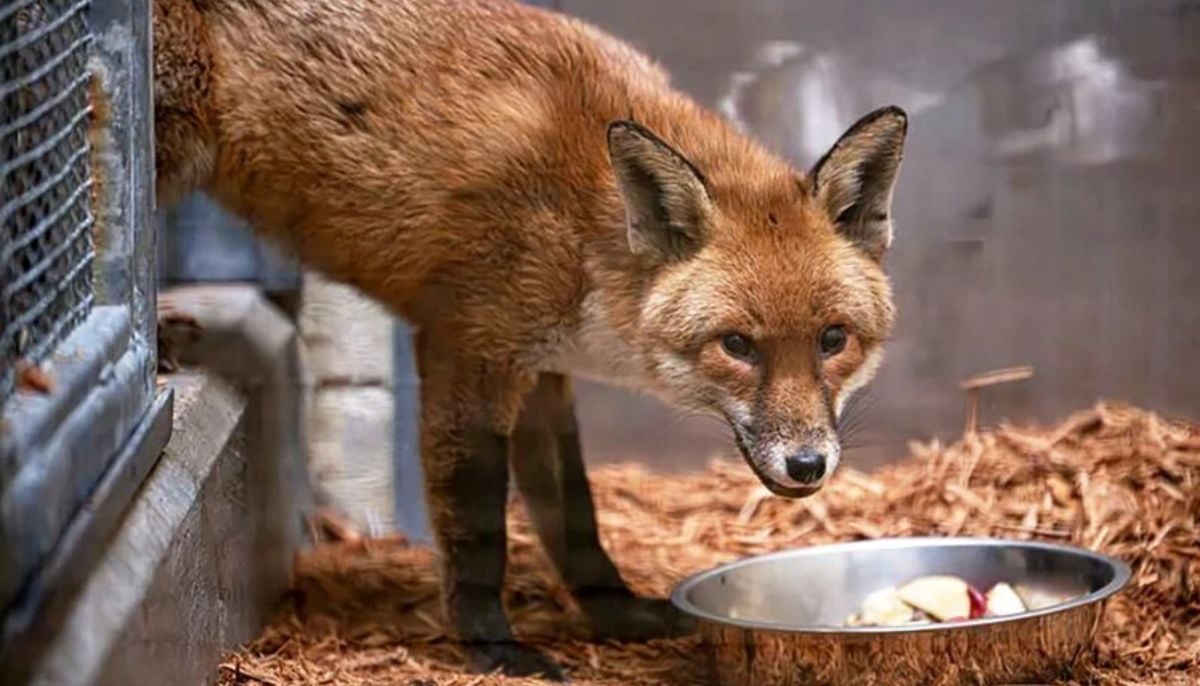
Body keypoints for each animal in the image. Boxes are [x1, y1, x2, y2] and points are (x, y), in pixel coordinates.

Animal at [152, 0, 905, 678]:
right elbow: (479, 525)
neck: (584, 226)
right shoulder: (467, 349)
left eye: (833, 339)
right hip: (170, 141)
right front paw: (494, 647)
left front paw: (617, 614)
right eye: (738, 345)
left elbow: (575, 517)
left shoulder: (544, 370)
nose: (808, 465)